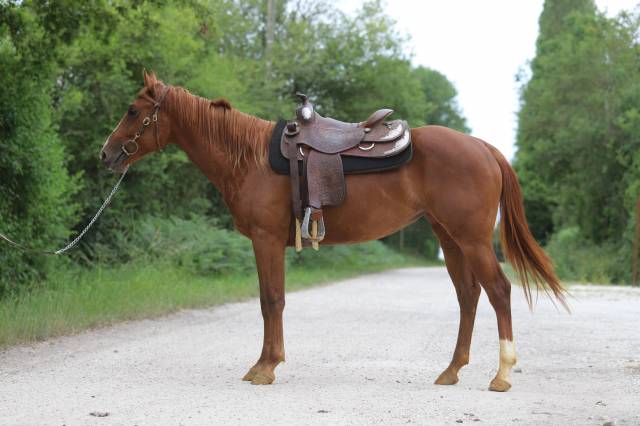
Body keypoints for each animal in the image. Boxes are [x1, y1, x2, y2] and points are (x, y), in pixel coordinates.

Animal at [100, 72, 566, 392]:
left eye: (133, 111)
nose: (106, 154)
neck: (249, 157)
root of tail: (483, 148)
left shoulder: (267, 240)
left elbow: (272, 301)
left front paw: (265, 367)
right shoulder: (267, 243)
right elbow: (271, 301)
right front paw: (265, 363)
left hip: (471, 239)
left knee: (498, 291)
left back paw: (501, 374)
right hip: (449, 237)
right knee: (468, 296)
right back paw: (451, 371)